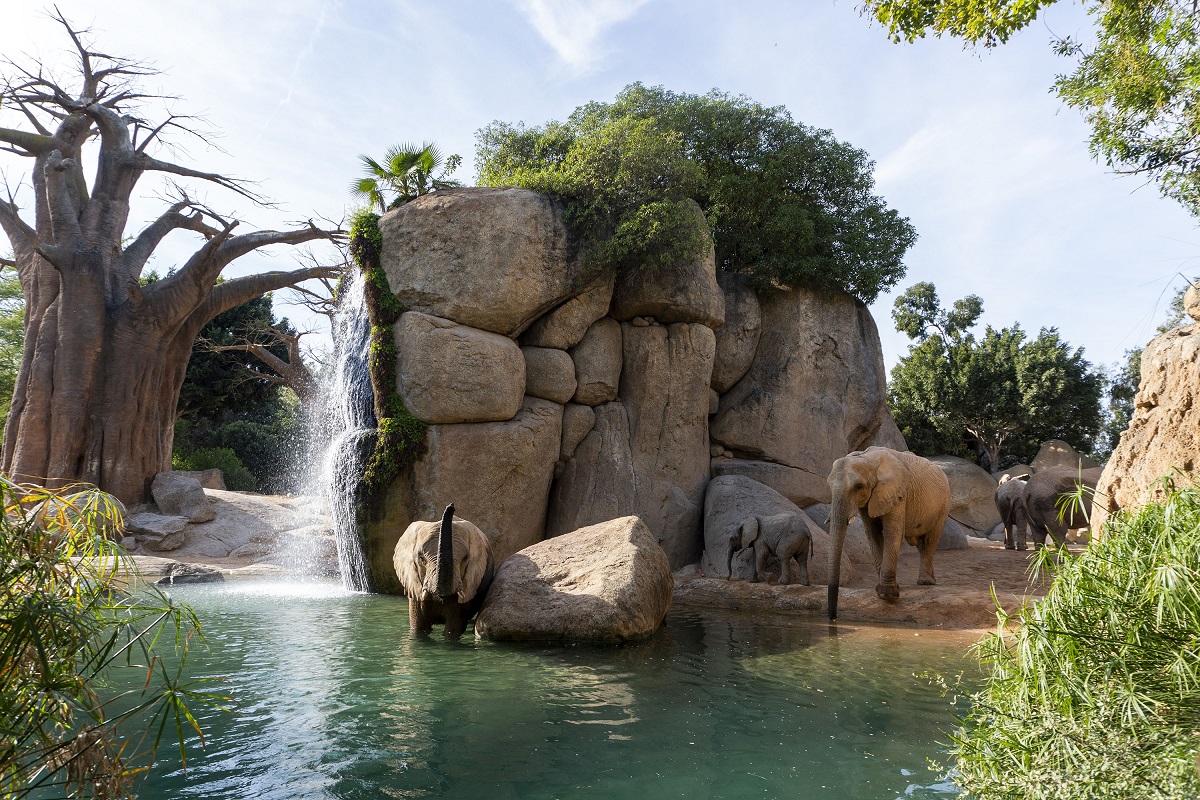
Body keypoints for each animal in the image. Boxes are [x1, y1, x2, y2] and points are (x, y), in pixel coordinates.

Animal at [826, 447, 951, 620]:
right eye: (829, 486)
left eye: (858, 486)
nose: (833, 617)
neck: (867, 459)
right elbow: (873, 535)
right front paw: (881, 590)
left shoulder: (897, 493)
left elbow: (893, 533)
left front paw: (887, 595)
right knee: (921, 544)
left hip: (943, 504)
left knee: (930, 540)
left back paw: (926, 583)